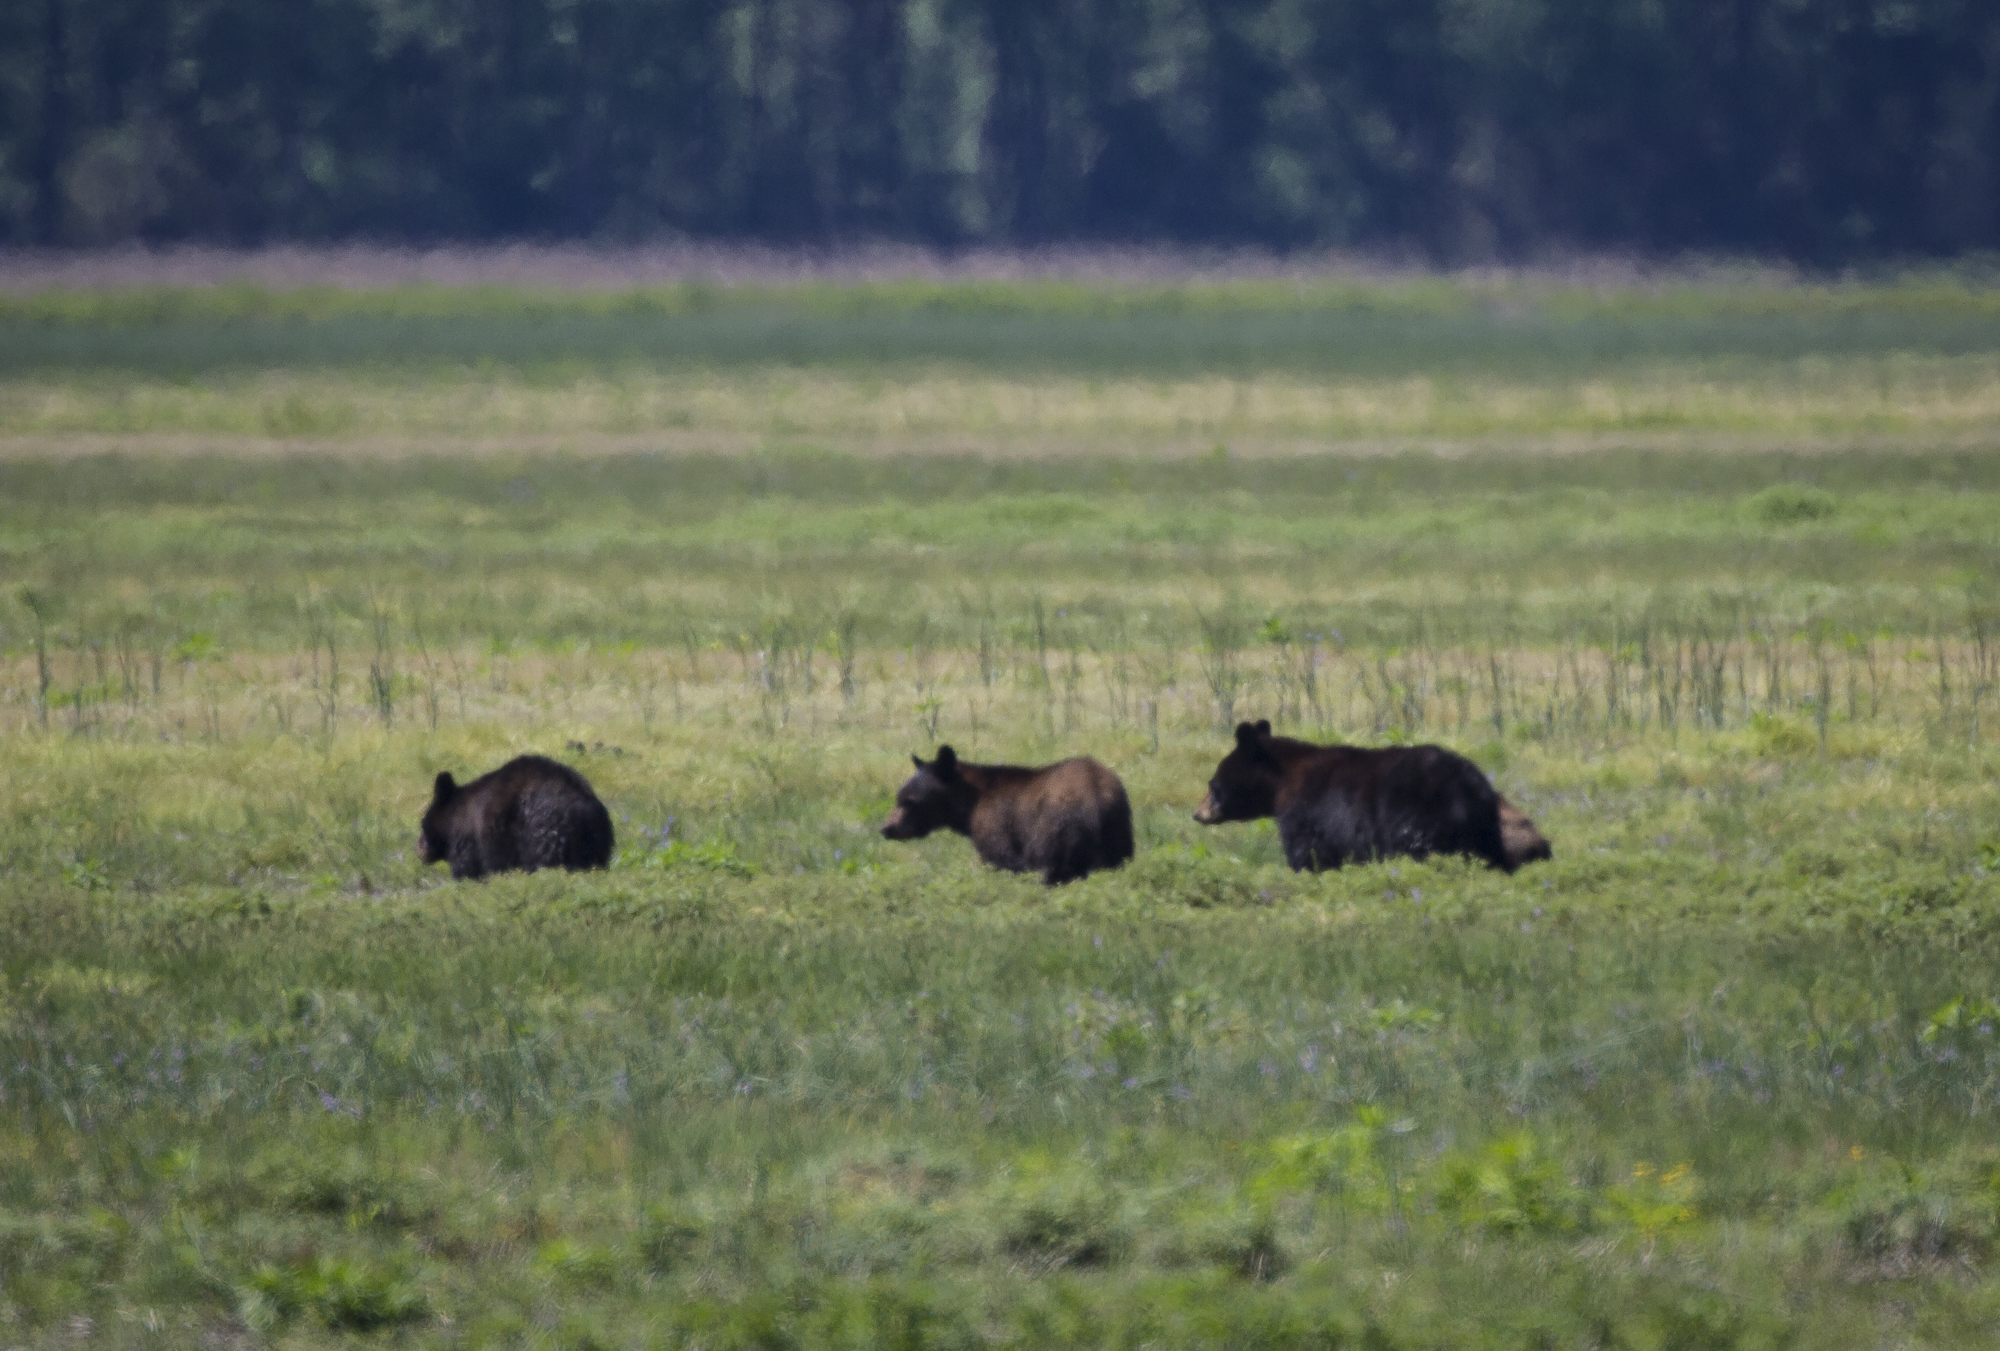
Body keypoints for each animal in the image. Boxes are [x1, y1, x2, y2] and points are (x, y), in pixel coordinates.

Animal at [416, 754, 615, 880]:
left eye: (422, 824)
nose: (416, 847)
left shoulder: (469, 840)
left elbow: (468, 867)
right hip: (598, 842)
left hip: (543, 831)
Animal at [879, 745, 1134, 885]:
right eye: (898, 797)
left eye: (910, 801)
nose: (886, 828)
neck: (970, 803)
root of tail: (1097, 798)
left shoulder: (995, 823)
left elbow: (1000, 859)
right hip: (1119, 830)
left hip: (1056, 827)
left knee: (1050, 866)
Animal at [1192, 720, 1549, 873]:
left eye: (1213, 784)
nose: (1197, 813)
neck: (1282, 780)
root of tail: (1476, 791)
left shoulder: (1307, 814)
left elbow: (1308, 855)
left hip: (1420, 819)